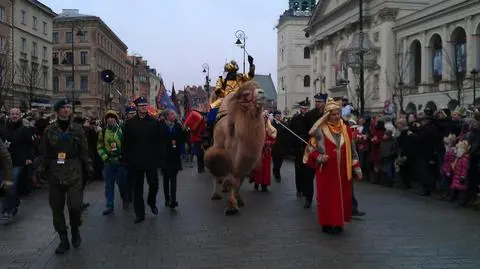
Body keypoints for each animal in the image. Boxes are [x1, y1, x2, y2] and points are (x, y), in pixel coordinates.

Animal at [204, 80, 266, 215]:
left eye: (258, 87)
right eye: (246, 94)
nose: (262, 93)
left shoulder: (244, 163)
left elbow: (239, 180)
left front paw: (239, 199)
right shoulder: (231, 158)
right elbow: (232, 180)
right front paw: (231, 207)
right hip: (216, 147)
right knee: (215, 172)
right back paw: (215, 194)